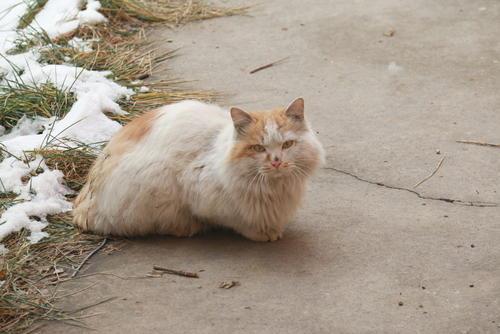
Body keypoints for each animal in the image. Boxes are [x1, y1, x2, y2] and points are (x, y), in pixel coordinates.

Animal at [73, 98, 324, 241]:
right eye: (258, 148)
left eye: (287, 144)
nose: (276, 161)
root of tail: (84, 199)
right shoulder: (203, 195)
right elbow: (238, 222)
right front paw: (262, 233)